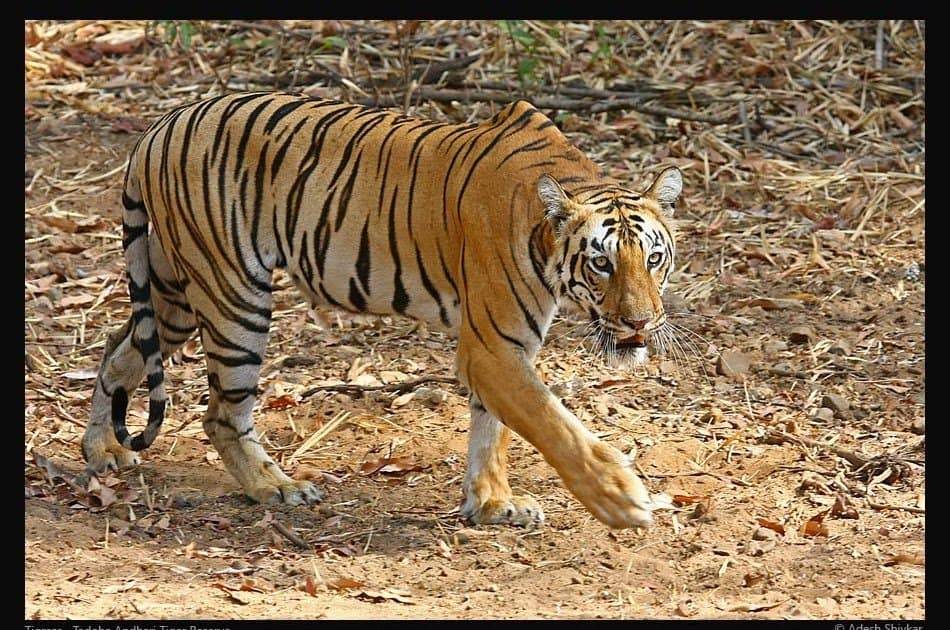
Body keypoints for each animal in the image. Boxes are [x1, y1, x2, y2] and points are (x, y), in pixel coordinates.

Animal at [81, 91, 682, 530]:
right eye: (601, 264)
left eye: (653, 258)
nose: (640, 322)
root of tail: (161, 125)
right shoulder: (493, 346)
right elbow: (549, 421)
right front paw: (620, 499)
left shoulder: (509, 346)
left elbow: (495, 428)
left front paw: (491, 503)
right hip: (233, 293)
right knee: (222, 413)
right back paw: (276, 486)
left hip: (174, 291)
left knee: (119, 348)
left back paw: (103, 449)